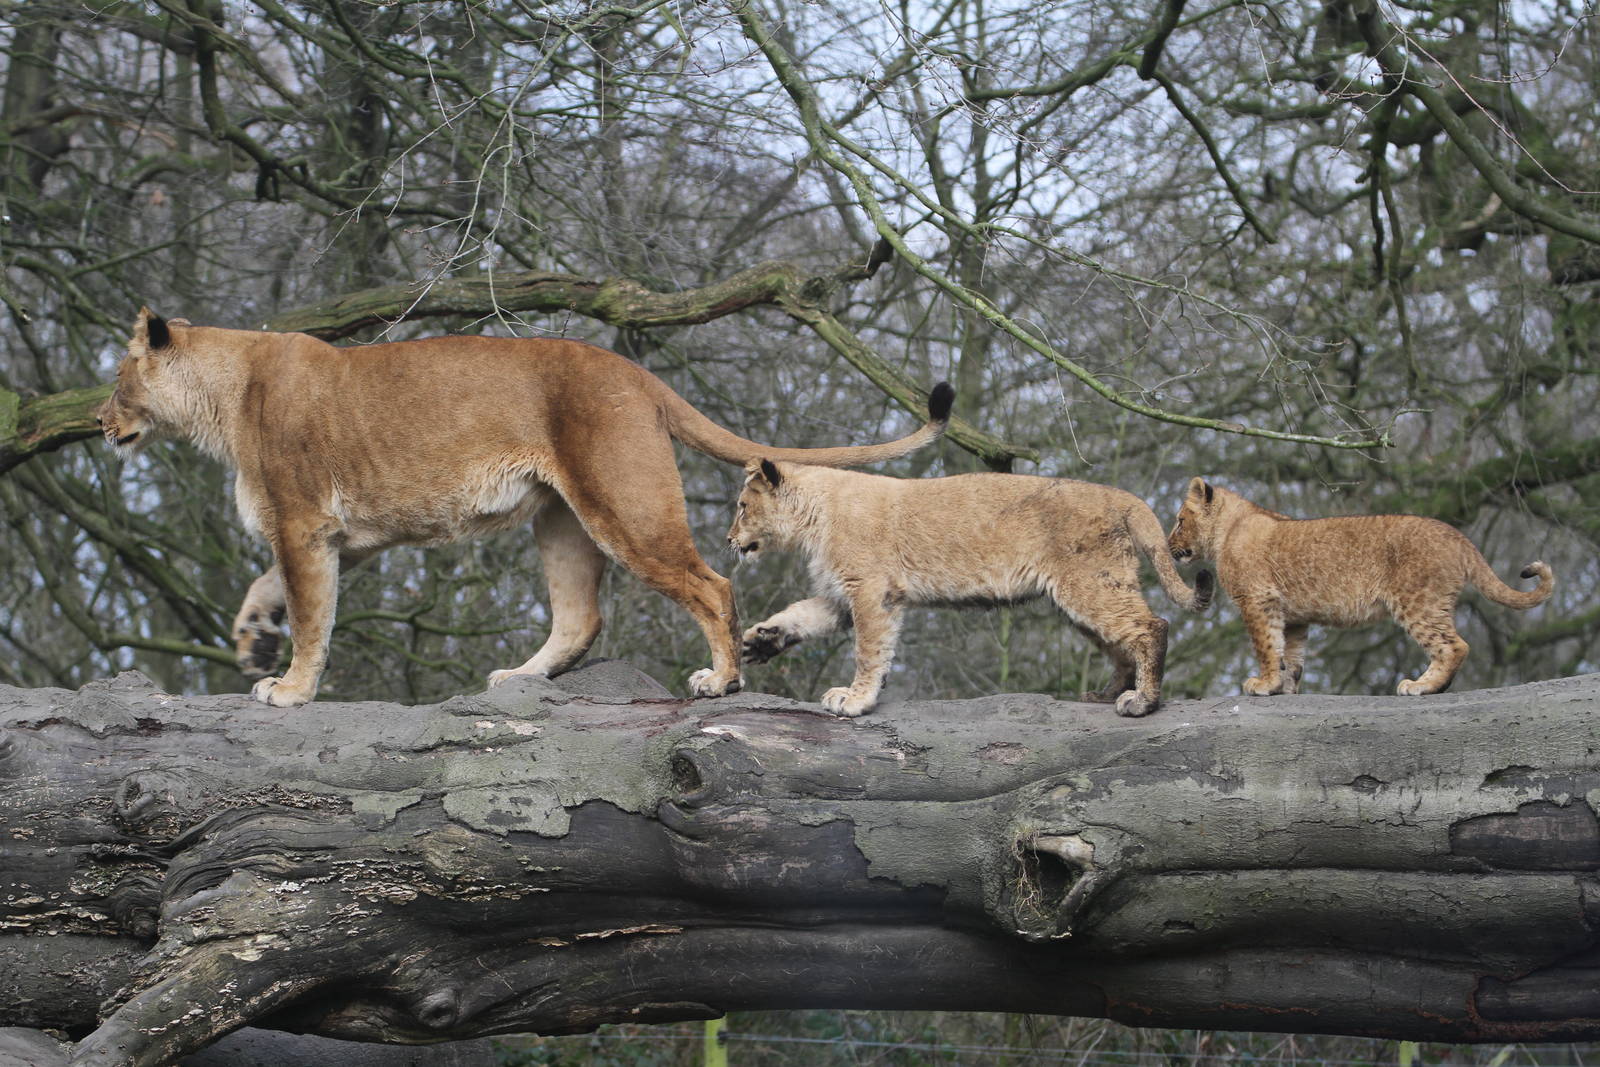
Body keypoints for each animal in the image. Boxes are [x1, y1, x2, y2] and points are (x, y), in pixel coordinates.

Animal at [97, 308, 954, 707]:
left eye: (115, 376)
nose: (98, 422)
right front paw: (252, 640)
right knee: (581, 617)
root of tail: (634, 373)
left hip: (621, 505)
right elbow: (269, 587)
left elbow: (312, 615)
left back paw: (722, 679)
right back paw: (520, 676)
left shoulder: (305, 521)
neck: (222, 399)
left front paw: (290, 687)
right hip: (561, 519)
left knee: (711, 585)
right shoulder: (339, 535)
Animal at [725, 460, 1214, 717]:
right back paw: (1107, 694)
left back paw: (1142, 701)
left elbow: (869, 651)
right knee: (1121, 645)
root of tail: (1121, 496)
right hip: (1084, 594)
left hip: (1087, 584)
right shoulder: (841, 596)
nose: (730, 539)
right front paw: (758, 640)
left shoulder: (871, 590)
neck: (813, 517)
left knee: (1152, 626)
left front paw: (855, 698)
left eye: (743, 507)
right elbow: (799, 615)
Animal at [1166, 477, 1555, 696]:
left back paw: (1421, 687)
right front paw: (1284, 689)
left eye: (1180, 520)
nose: (1169, 546)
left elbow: (1266, 647)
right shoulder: (1292, 615)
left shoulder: (1257, 600)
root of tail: (1457, 536)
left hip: (1417, 601)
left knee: (1454, 646)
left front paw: (1263, 685)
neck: (1228, 529)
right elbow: (1290, 656)